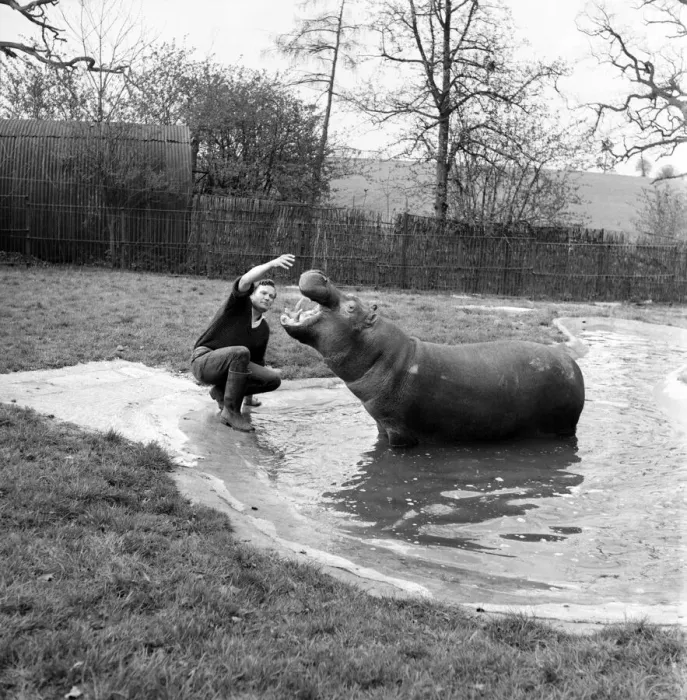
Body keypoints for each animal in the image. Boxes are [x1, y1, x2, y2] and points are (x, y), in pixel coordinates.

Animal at [281, 270, 585, 447]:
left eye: (351, 306)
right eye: (354, 298)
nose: (322, 275)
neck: (389, 357)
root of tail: (574, 366)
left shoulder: (399, 430)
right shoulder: (381, 423)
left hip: (560, 427)